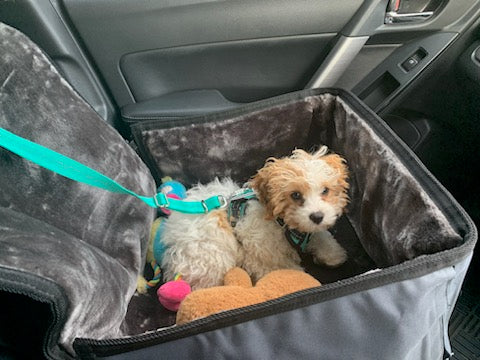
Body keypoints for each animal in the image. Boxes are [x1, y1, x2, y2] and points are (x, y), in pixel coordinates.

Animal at [161, 146, 348, 290]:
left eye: (325, 190)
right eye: (295, 195)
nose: (317, 216)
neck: (282, 224)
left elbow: (321, 236)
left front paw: (334, 254)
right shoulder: (260, 253)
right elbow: (280, 268)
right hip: (214, 257)